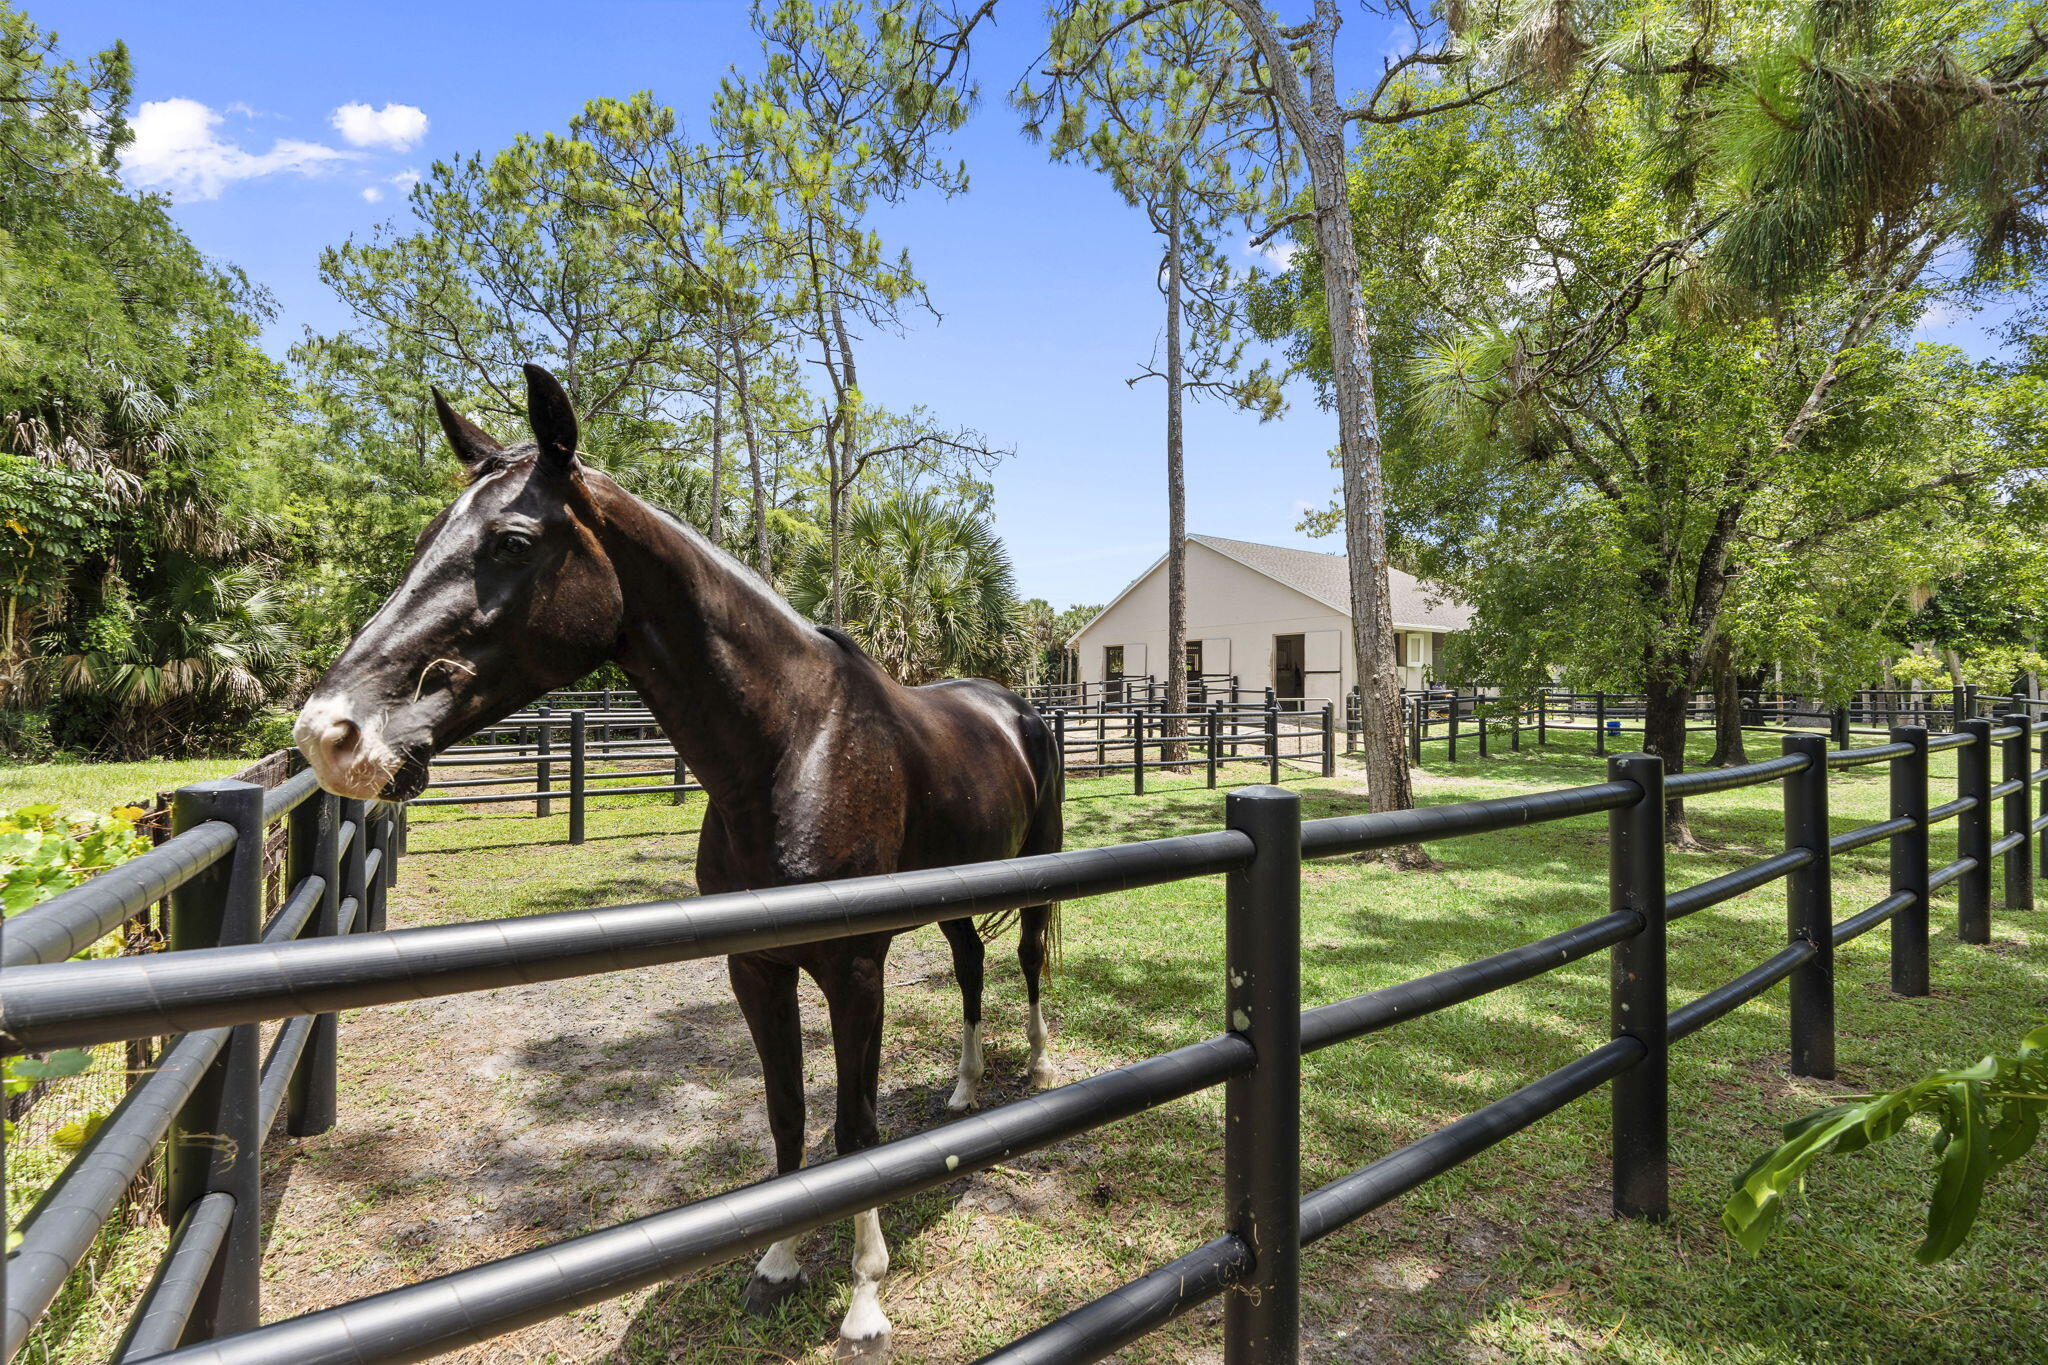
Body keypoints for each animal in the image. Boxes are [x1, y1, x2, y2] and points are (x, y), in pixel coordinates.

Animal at [294, 363, 1063, 1356]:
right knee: (970, 965)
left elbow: (854, 1130)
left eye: (512, 540)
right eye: (429, 539)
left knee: (1029, 958)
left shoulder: (855, 968)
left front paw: (863, 1301)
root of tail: (1016, 705)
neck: (794, 746)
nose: (332, 732)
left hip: (1037, 870)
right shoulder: (756, 967)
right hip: (958, 895)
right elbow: (788, 1114)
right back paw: (966, 1091)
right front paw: (777, 1262)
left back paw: (1038, 1069)